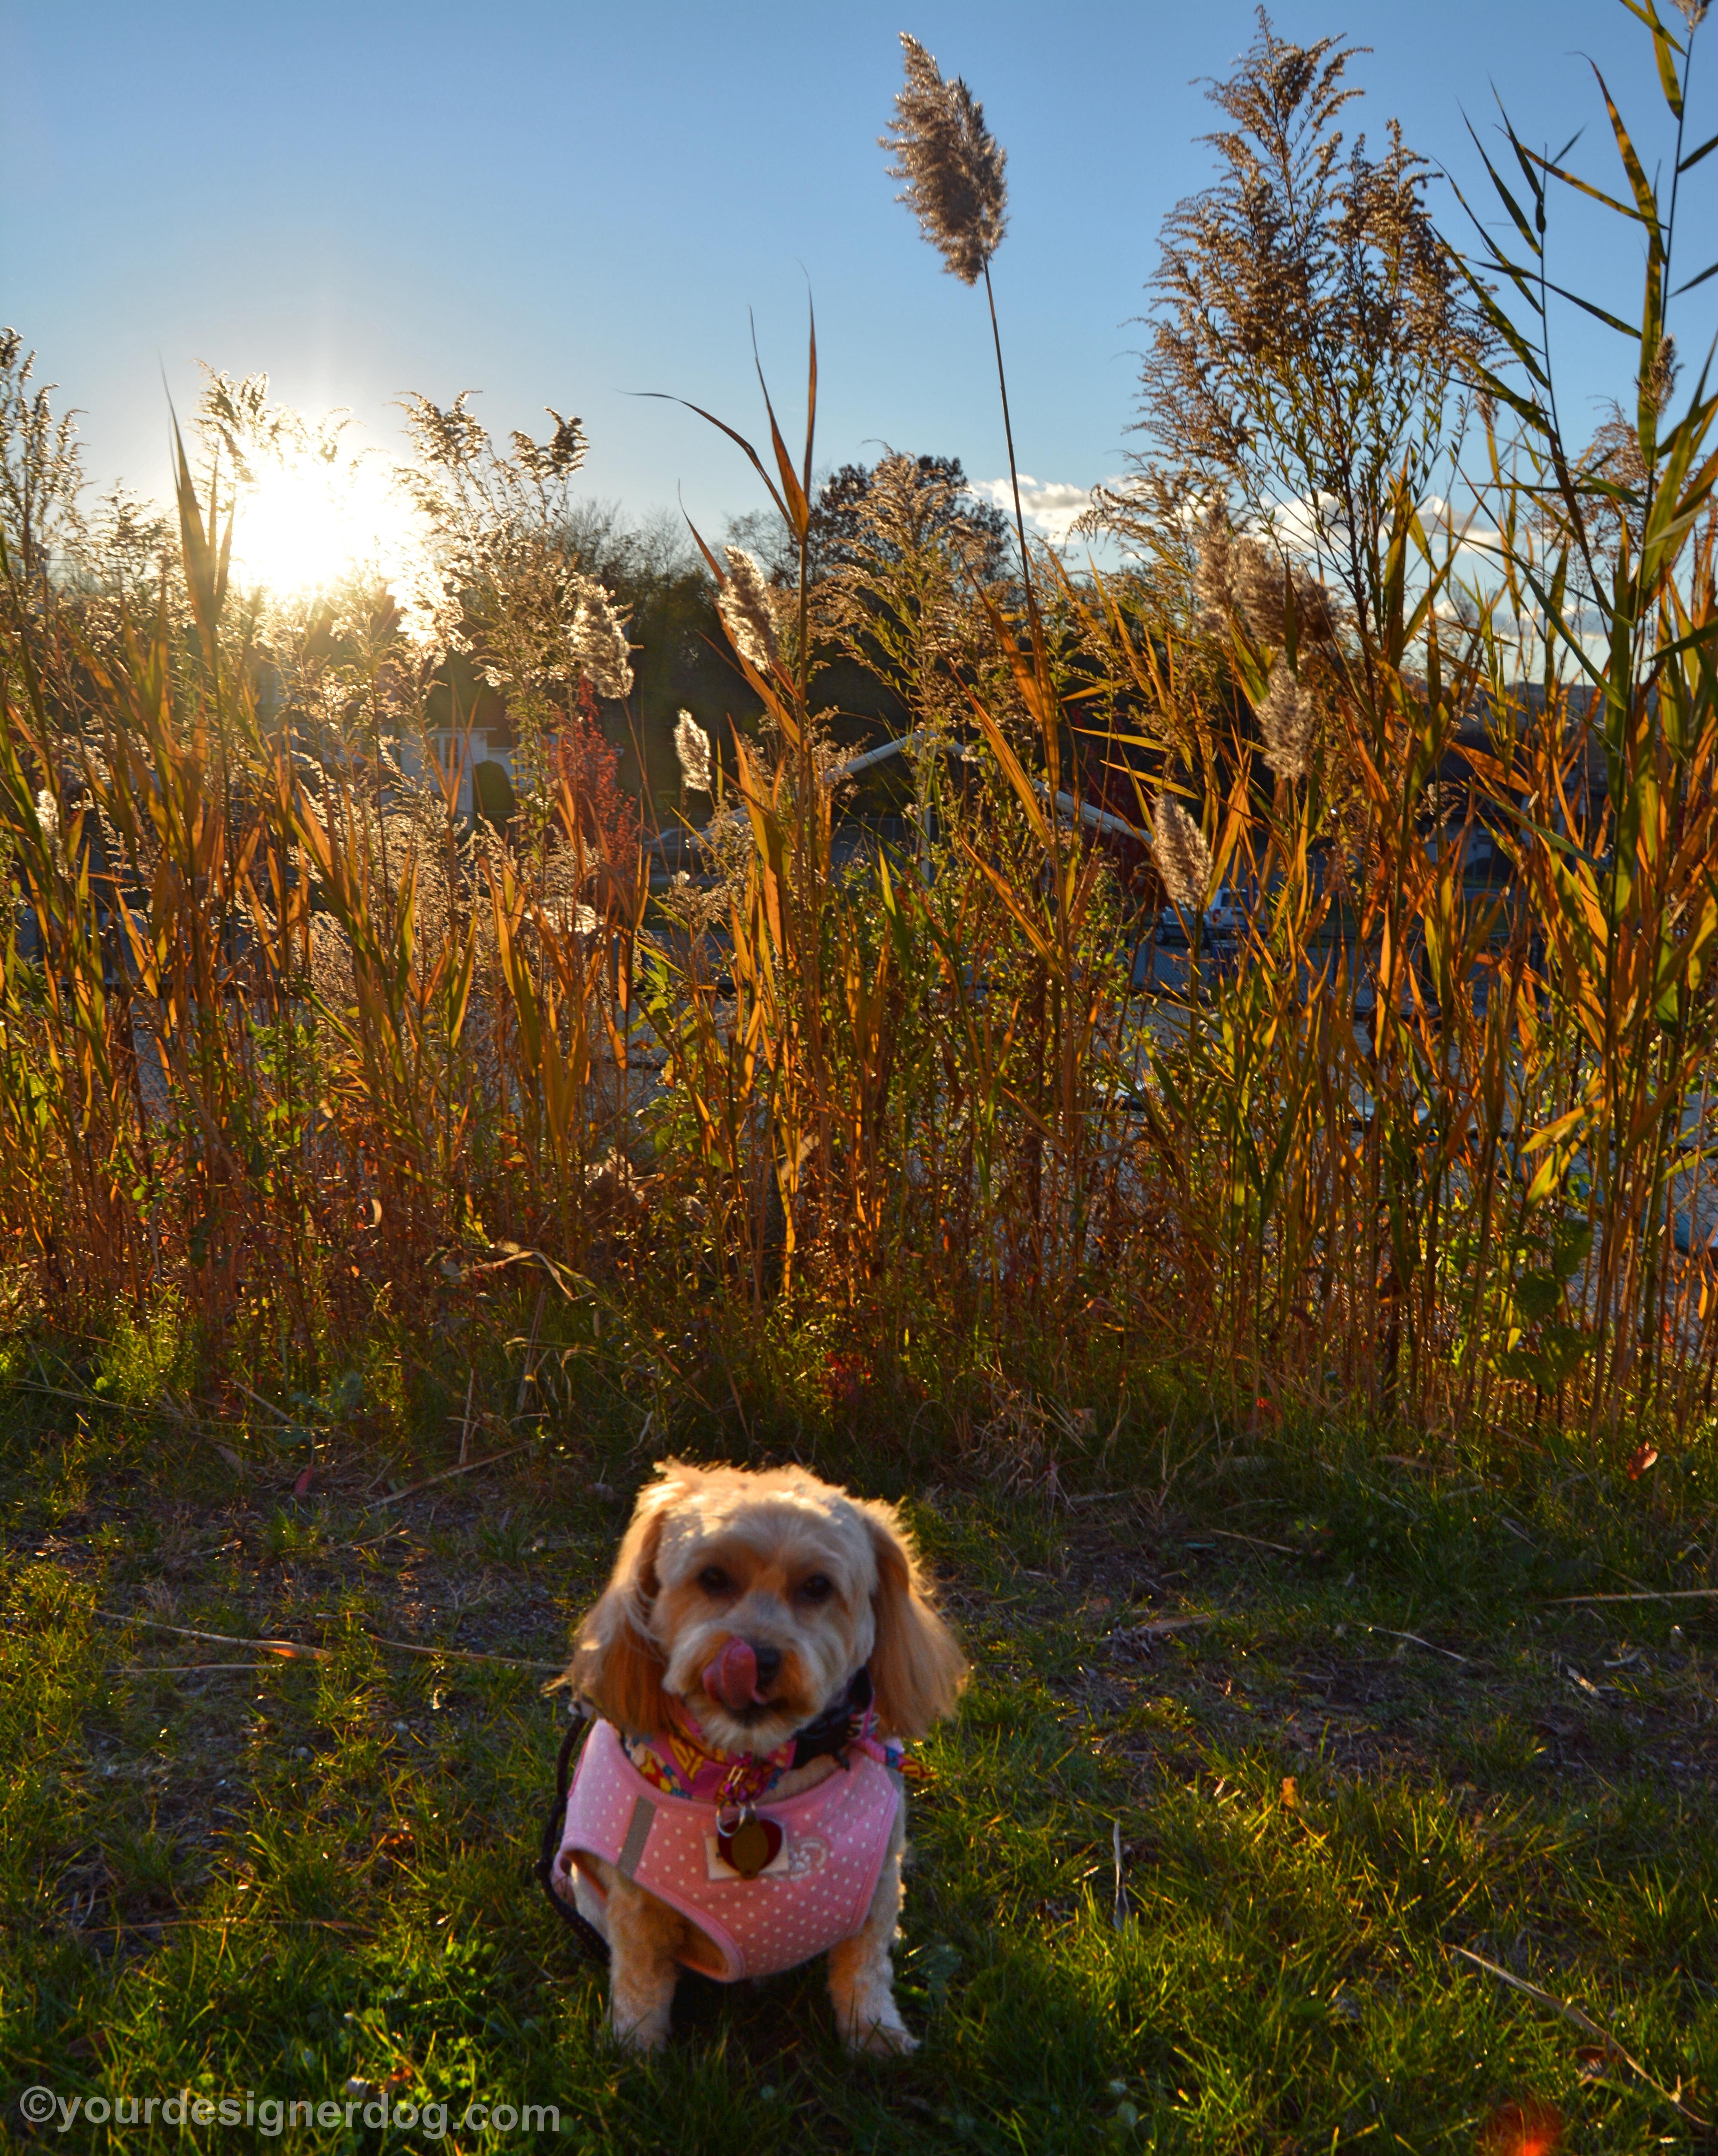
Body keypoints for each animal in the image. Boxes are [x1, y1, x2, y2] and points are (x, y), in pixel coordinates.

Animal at [556, 1466, 970, 2052]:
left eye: (817, 1586)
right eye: (712, 1578)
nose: (756, 1657)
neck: (751, 1770)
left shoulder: (877, 1886)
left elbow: (863, 1967)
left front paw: (874, 2034)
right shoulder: (637, 1904)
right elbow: (641, 1978)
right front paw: (634, 2049)